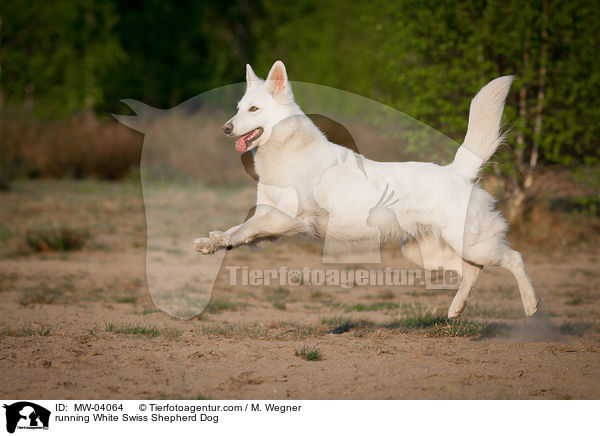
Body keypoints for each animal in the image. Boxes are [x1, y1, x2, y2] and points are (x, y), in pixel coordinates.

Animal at [195, 60, 540, 320]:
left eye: (254, 109)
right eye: (239, 108)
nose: (226, 128)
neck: (289, 149)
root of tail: (457, 172)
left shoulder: (289, 218)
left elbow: (245, 229)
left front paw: (220, 240)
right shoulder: (269, 217)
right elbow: (241, 230)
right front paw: (214, 242)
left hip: (472, 243)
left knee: (514, 259)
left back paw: (531, 304)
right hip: (425, 253)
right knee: (473, 272)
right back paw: (456, 309)